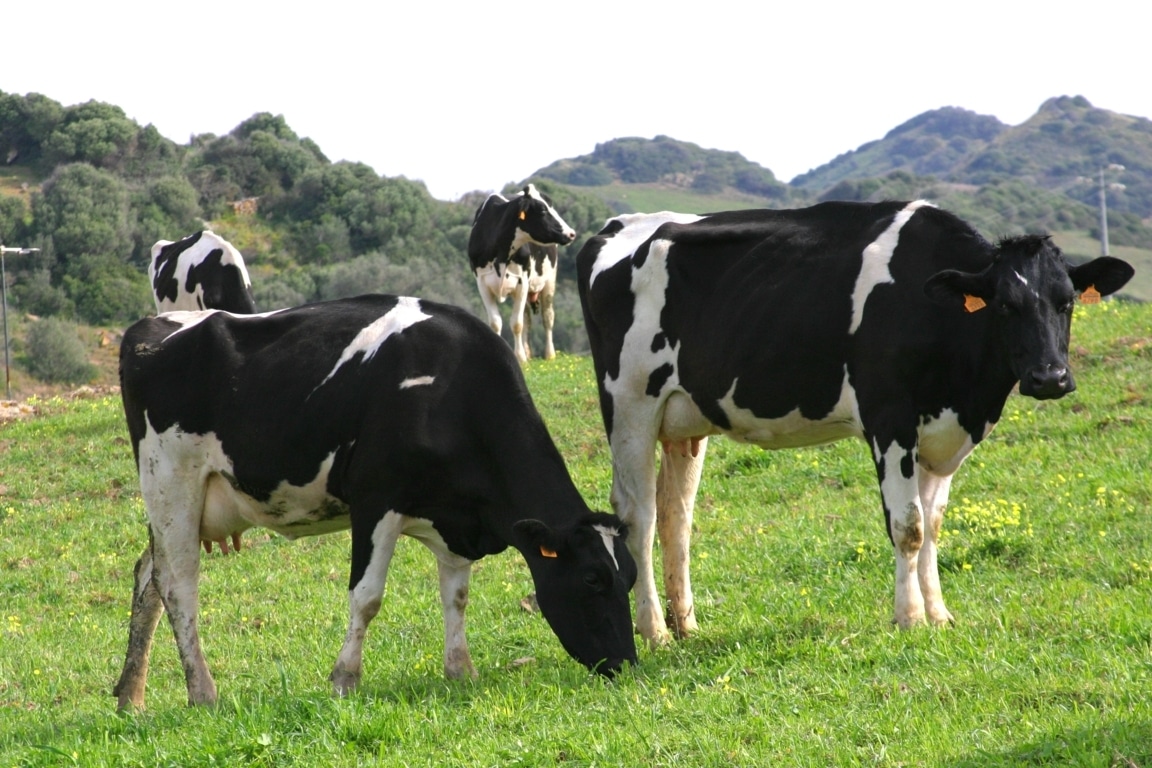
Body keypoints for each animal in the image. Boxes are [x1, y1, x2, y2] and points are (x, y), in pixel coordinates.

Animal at [114, 292, 640, 709]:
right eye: (592, 579)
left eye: (630, 578)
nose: (626, 665)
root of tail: (149, 328)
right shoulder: (375, 501)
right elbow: (367, 597)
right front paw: (344, 679)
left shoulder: (454, 521)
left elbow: (457, 595)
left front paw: (460, 670)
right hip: (171, 483)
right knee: (178, 586)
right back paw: (202, 692)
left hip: (179, 505)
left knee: (149, 578)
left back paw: (130, 696)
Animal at [467, 186, 576, 366]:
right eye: (543, 210)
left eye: (551, 206)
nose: (572, 233)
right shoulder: (482, 283)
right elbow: (496, 323)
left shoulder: (522, 281)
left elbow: (517, 324)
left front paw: (520, 358)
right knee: (528, 320)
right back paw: (528, 351)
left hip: (549, 281)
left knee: (547, 317)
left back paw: (549, 354)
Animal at [576, 201, 1133, 644]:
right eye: (1004, 305)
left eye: (1066, 302)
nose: (1050, 377)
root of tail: (616, 225)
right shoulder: (890, 418)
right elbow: (907, 526)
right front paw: (909, 619)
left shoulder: (943, 432)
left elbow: (933, 525)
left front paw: (939, 614)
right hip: (630, 404)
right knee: (638, 516)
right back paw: (654, 632)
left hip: (684, 420)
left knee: (677, 517)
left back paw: (686, 625)